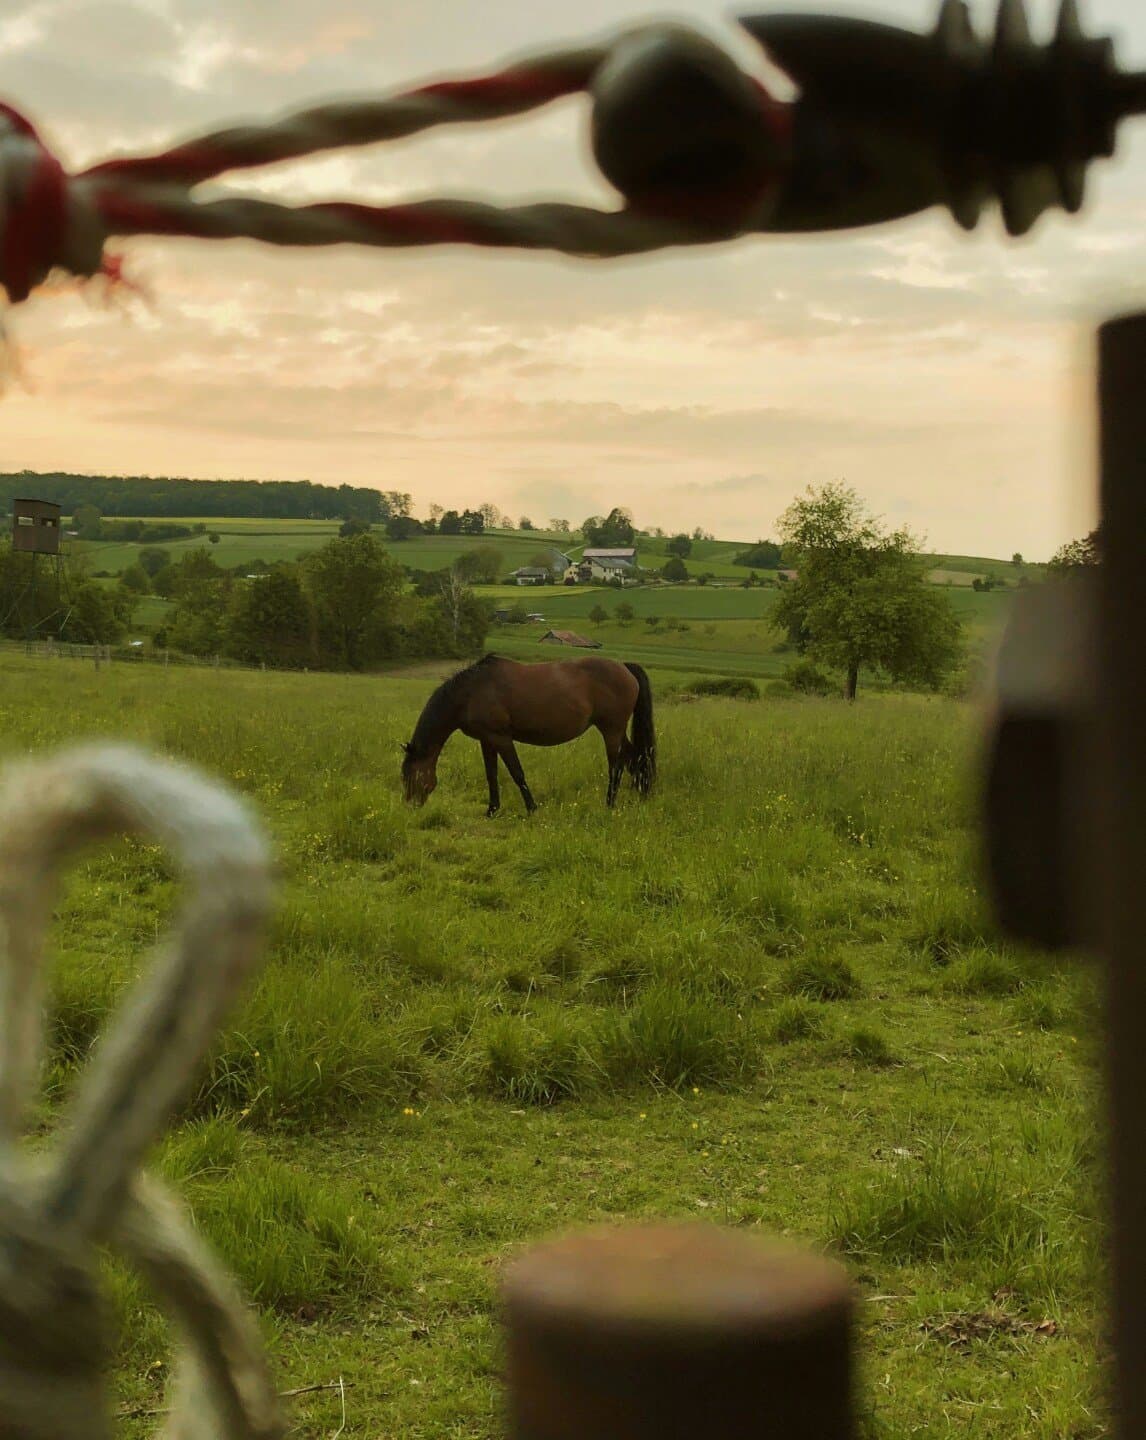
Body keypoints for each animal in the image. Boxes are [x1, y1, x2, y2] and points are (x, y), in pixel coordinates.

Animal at [401, 654, 655, 815]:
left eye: (410, 775)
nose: (410, 806)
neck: (471, 693)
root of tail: (625, 668)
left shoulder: (501, 738)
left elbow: (517, 773)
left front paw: (532, 808)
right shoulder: (487, 740)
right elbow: (491, 775)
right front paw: (492, 809)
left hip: (611, 730)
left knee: (616, 766)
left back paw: (610, 803)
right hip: (618, 731)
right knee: (635, 757)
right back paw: (642, 793)